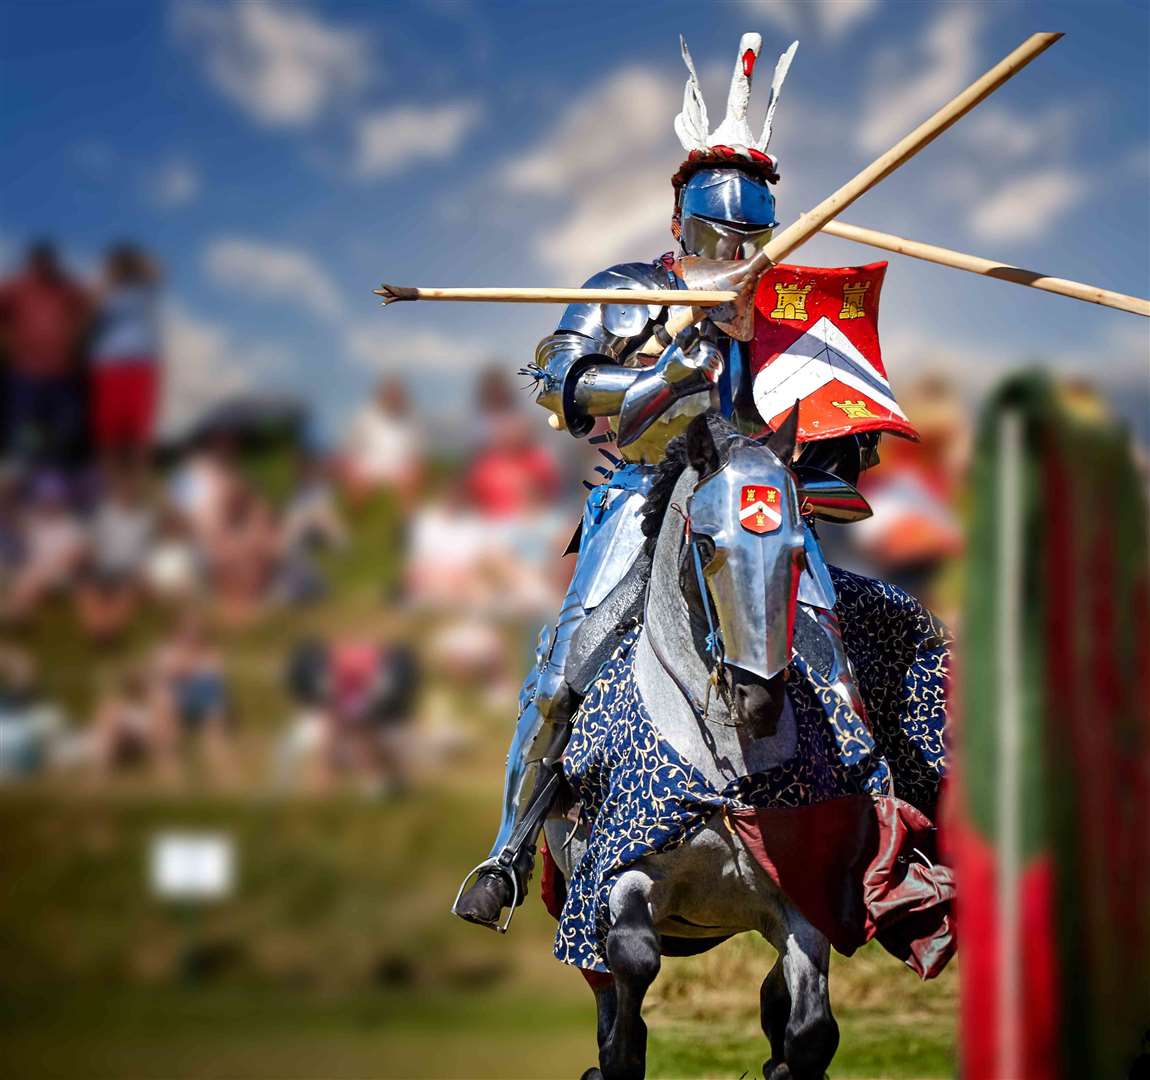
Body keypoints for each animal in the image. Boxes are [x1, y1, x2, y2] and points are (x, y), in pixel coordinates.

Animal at [542, 414, 883, 1080]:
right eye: (705, 547)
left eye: (799, 552)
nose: (759, 697)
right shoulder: (619, 876)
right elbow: (634, 958)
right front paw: (619, 1056)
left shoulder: (798, 900)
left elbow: (812, 1032)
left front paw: (785, 1057)